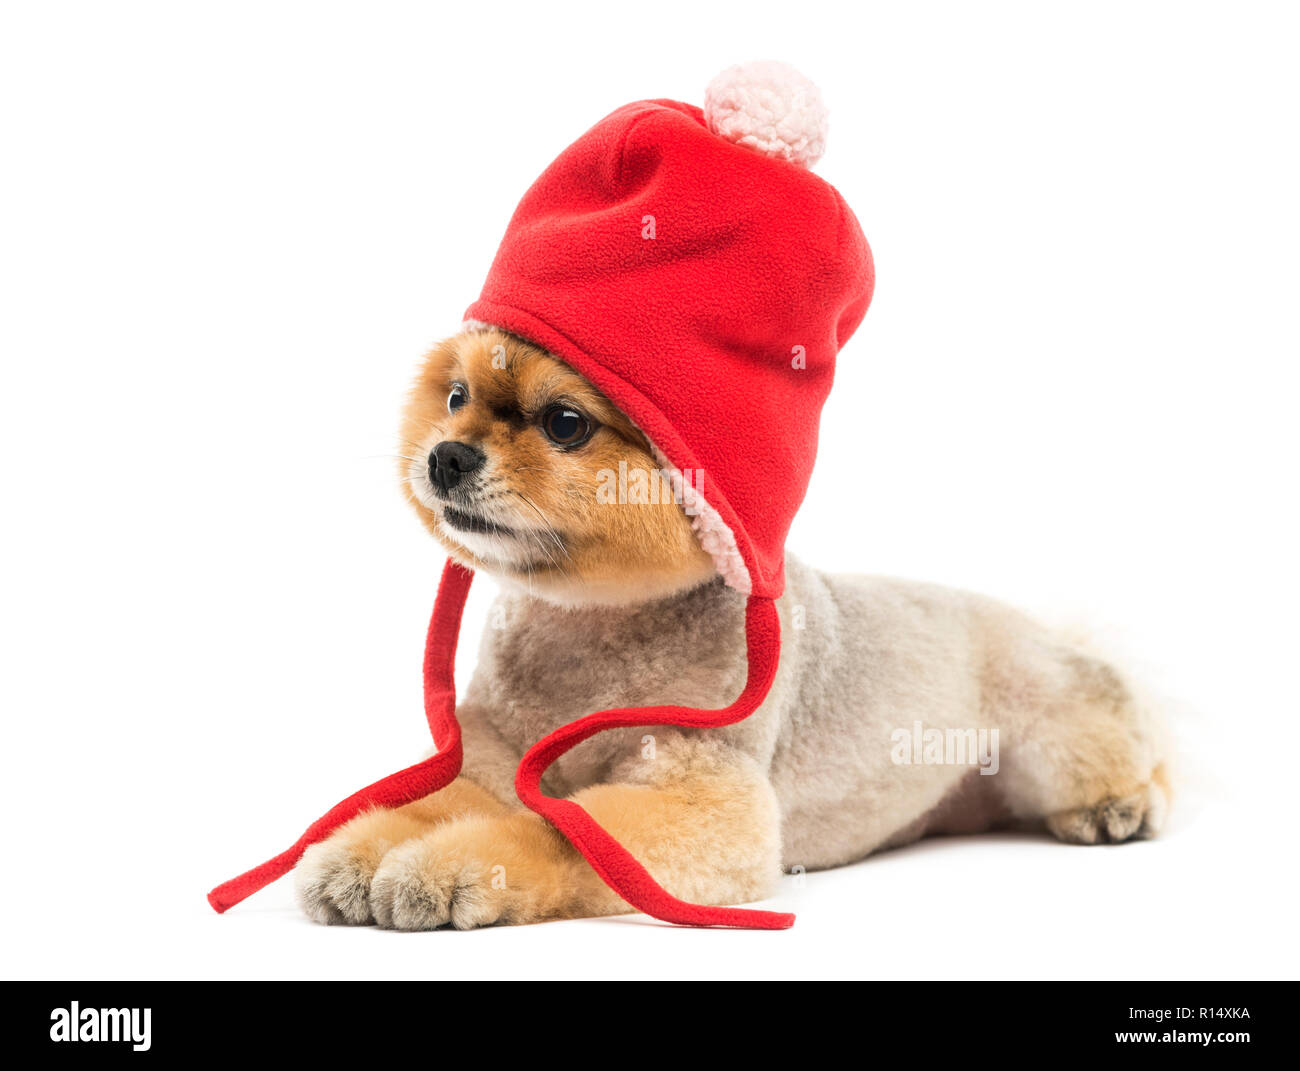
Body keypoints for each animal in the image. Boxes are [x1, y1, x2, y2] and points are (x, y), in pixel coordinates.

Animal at [292, 328, 1170, 930]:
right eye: (454, 398)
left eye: (564, 423)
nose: (445, 456)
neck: (588, 629)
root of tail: (1048, 631)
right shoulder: (489, 754)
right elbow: (434, 800)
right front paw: (361, 847)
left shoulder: (706, 792)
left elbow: (551, 830)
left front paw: (456, 867)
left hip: (1055, 734)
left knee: (1127, 744)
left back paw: (1123, 803)